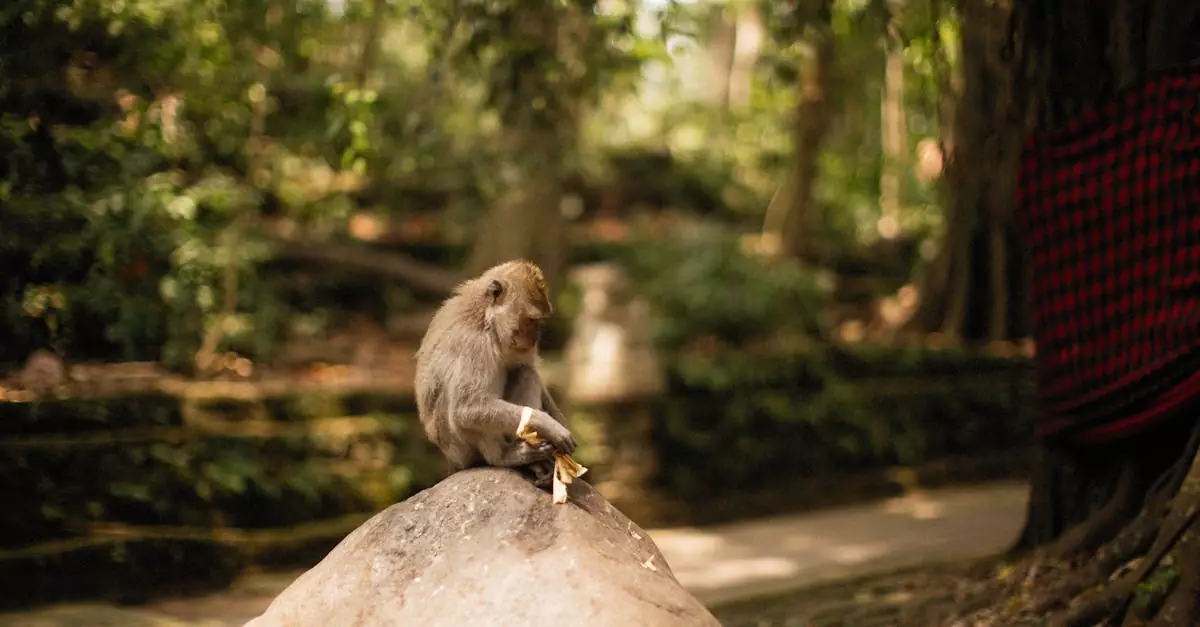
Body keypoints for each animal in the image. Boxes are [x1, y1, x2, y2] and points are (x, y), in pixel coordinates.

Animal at [415, 259, 577, 488]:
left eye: (539, 322)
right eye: (531, 320)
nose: (535, 338)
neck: (486, 319)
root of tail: (453, 462)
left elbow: (525, 365)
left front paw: (559, 420)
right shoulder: (475, 344)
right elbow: (468, 407)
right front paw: (547, 424)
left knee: (524, 372)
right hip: (462, 450)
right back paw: (505, 457)